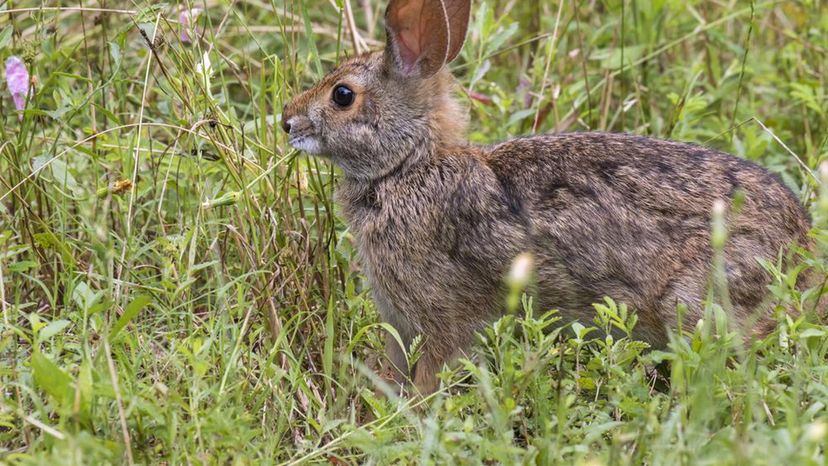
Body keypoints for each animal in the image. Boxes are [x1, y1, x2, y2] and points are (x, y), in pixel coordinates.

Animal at [282, 0, 812, 394]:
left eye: (343, 96)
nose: (287, 120)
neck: (409, 166)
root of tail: (803, 257)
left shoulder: (440, 317)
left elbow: (432, 370)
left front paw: (412, 411)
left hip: (695, 301)